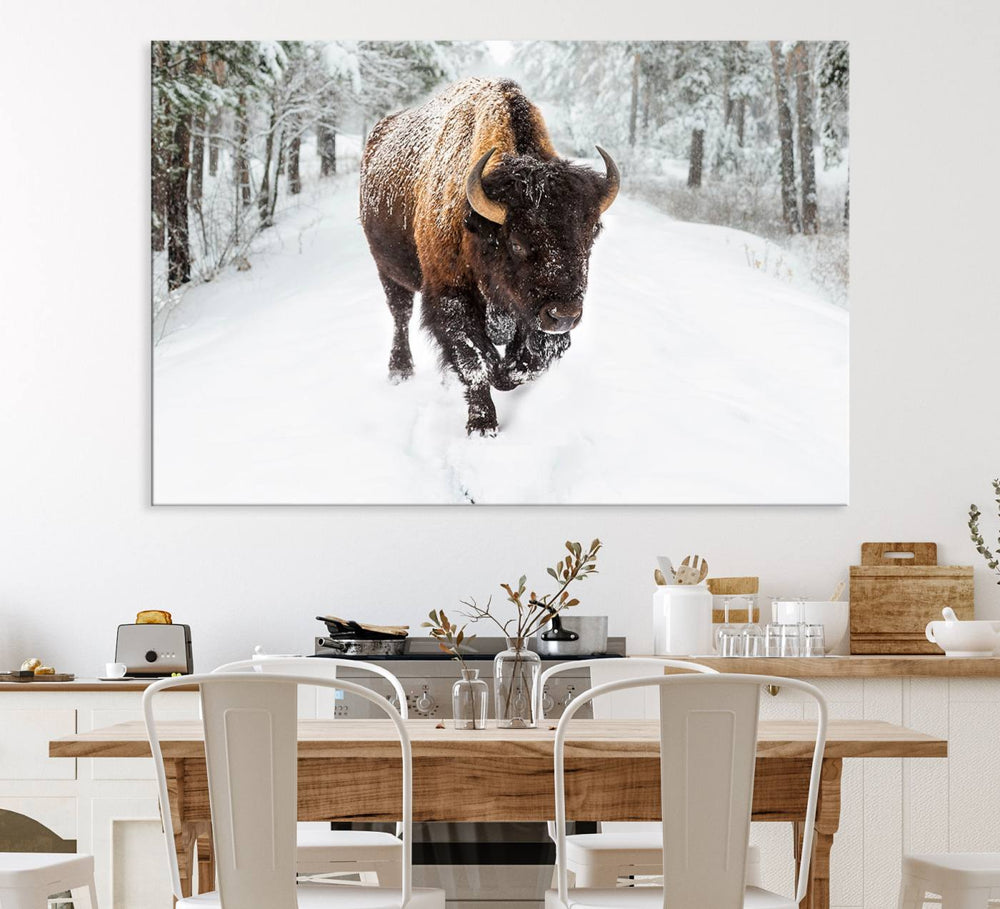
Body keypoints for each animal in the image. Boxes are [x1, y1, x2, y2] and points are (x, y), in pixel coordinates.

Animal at [358, 76, 616, 434]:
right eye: (517, 243)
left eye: (591, 234)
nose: (563, 316)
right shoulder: (450, 297)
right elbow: (475, 362)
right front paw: (482, 425)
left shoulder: (530, 315)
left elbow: (527, 362)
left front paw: (504, 375)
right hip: (388, 270)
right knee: (400, 314)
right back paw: (400, 370)